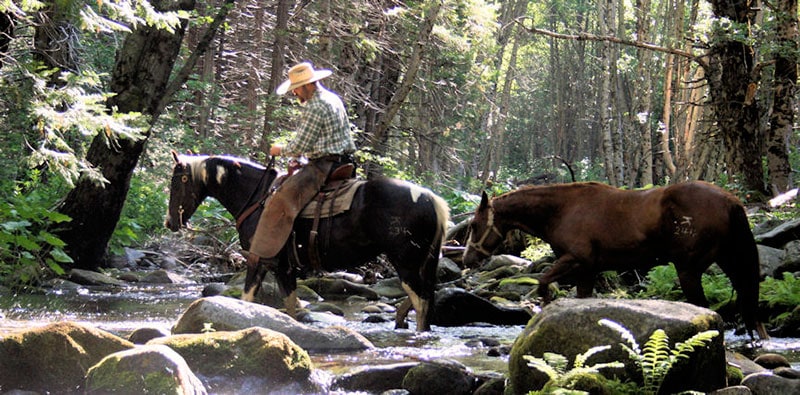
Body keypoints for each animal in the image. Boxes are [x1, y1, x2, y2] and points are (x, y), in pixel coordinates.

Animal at [166, 153, 450, 332]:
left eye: (177, 183)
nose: (170, 223)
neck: (257, 198)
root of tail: (432, 198)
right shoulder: (274, 264)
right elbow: (269, 303)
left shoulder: (267, 261)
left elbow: (272, 302)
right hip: (420, 262)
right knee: (425, 293)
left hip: (405, 262)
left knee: (422, 300)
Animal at [462, 183, 768, 340]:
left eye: (475, 225)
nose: (467, 259)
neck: (563, 210)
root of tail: (730, 200)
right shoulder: (587, 271)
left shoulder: (575, 259)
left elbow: (543, 281)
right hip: (728, 261)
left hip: (688, 270)